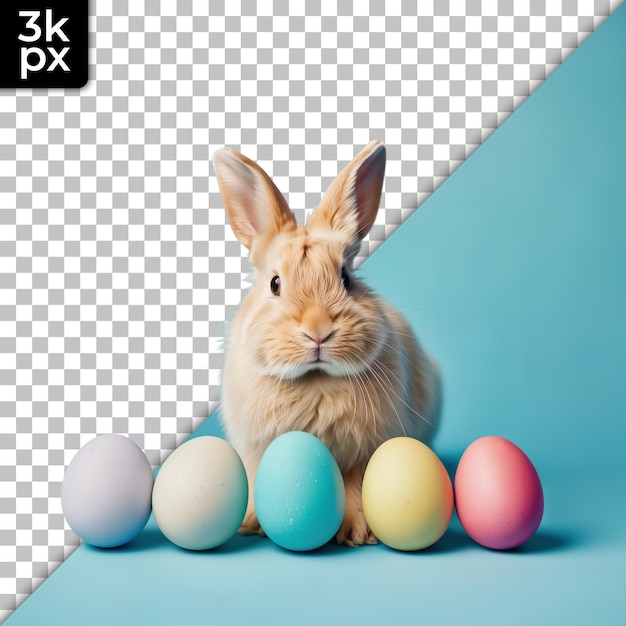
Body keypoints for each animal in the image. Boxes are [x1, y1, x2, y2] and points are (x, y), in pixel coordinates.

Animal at [212, 141, 442, 544]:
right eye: (275, 283)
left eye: (346, 278)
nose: (318, 330)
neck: (315, 379)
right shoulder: (256, 451)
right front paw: (251, 523)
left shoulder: (360, 454)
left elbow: (353, 488)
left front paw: (357, 533)